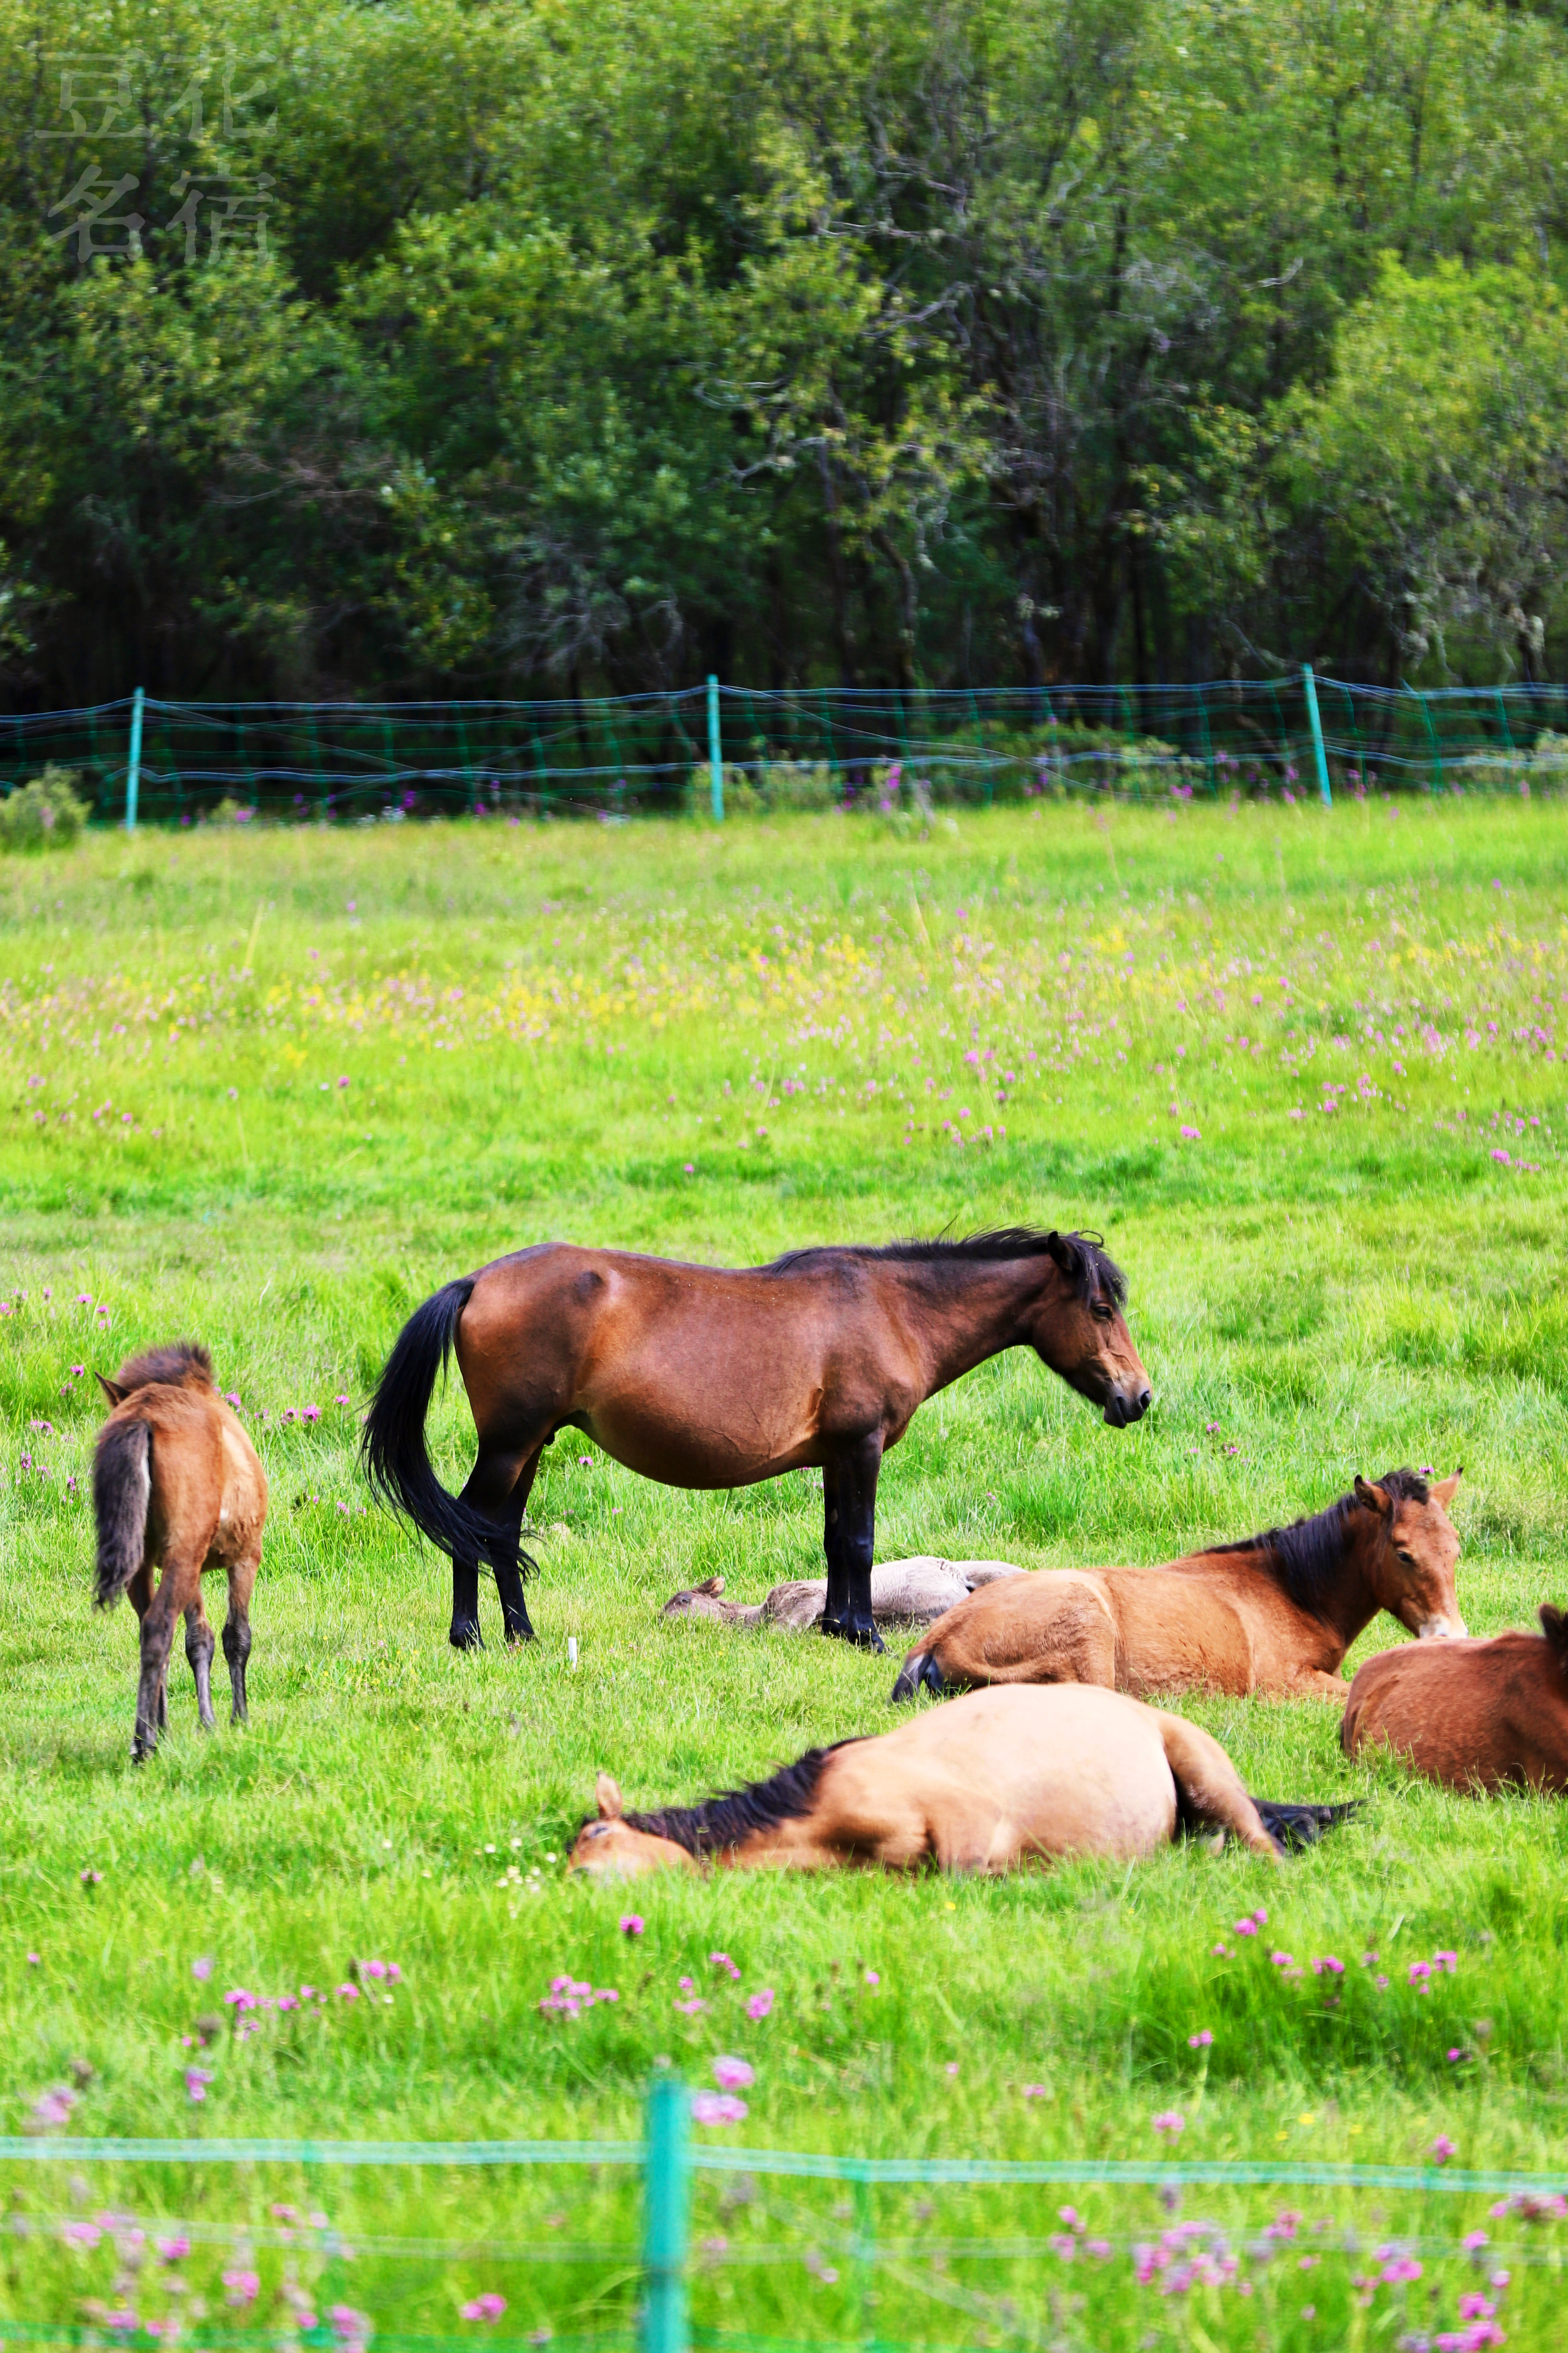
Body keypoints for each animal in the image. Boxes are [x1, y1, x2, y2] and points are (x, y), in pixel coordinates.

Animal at [92, 1344, 267, 1763]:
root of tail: (145, 1416)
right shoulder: (245, 1559)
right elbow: (236, 1636)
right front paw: (238, 1719)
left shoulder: (192, 1566)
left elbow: (198, 1639)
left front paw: (204, 1722)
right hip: (185, 1558)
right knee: (158, 1628)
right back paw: (142, 1743)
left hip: (148, 1564)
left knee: (154, 1631)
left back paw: (155, 1733)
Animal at [363, 1227, 1149, 1654]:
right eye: (1099, 1308)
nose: (1137, 1397)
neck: (893, 1310)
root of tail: (476, 1281)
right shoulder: (861, 1446)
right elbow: (859, 1539)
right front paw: (866, 1635)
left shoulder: (835, 1455)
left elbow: (835, 1541)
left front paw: (835, 1626)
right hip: (510, 1443)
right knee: (474, 1524)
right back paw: (469, 1636)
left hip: (530, 1445)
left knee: (497, 1530)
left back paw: (521, 1634)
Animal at [890, 1469, 1465, 1704]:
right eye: (1402, 1553)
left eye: (1456, 1549)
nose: (1451, 1638)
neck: (1290, 1588)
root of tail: (933, 1644)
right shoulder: (1285, 1684)